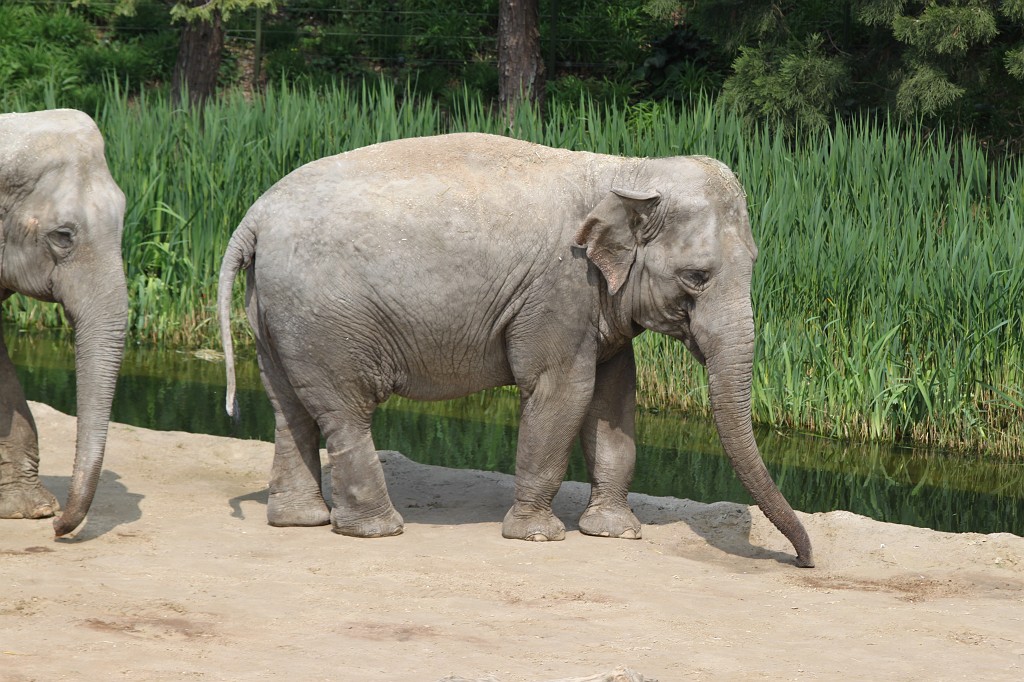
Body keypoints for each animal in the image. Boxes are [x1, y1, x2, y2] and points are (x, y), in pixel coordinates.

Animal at [218, 132, 814, 568]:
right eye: (697, 277)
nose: (804, 561)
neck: (627, 171)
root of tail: (255, 216)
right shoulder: (559, 288)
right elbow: (561, 391)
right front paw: (539, 537)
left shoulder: (598, 304)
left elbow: (615, 401)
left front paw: (616, 533)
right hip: (324, 316)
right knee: (345, 411)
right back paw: (377, 530)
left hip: (274, 312)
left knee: (288, 407)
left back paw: (300, 521)